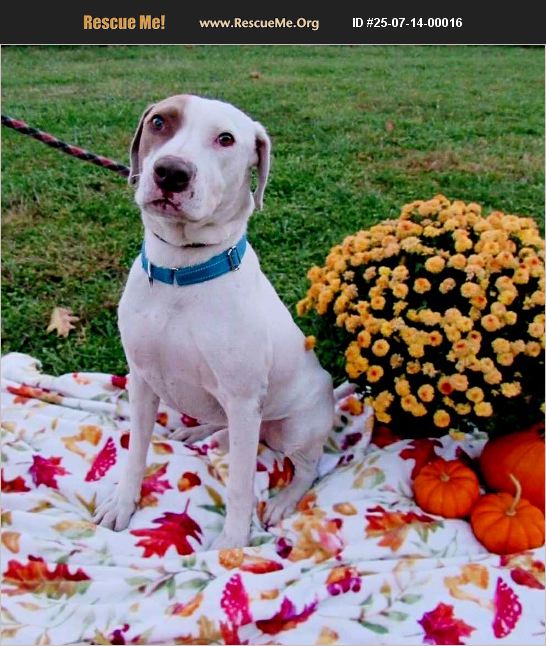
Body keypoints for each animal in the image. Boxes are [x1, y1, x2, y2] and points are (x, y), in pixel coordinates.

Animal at [94, 94, 334, 549]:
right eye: (159, 122)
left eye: (226, 139)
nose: (171, 172)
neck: (181, 271)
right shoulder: (142, 380)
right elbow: (135, 451)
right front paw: (122, 502)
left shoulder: (242, 399)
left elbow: (240, 483)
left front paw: (232, 545)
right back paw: (201, 432)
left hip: (296, 426)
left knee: (307, 466)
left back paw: (283, 499)